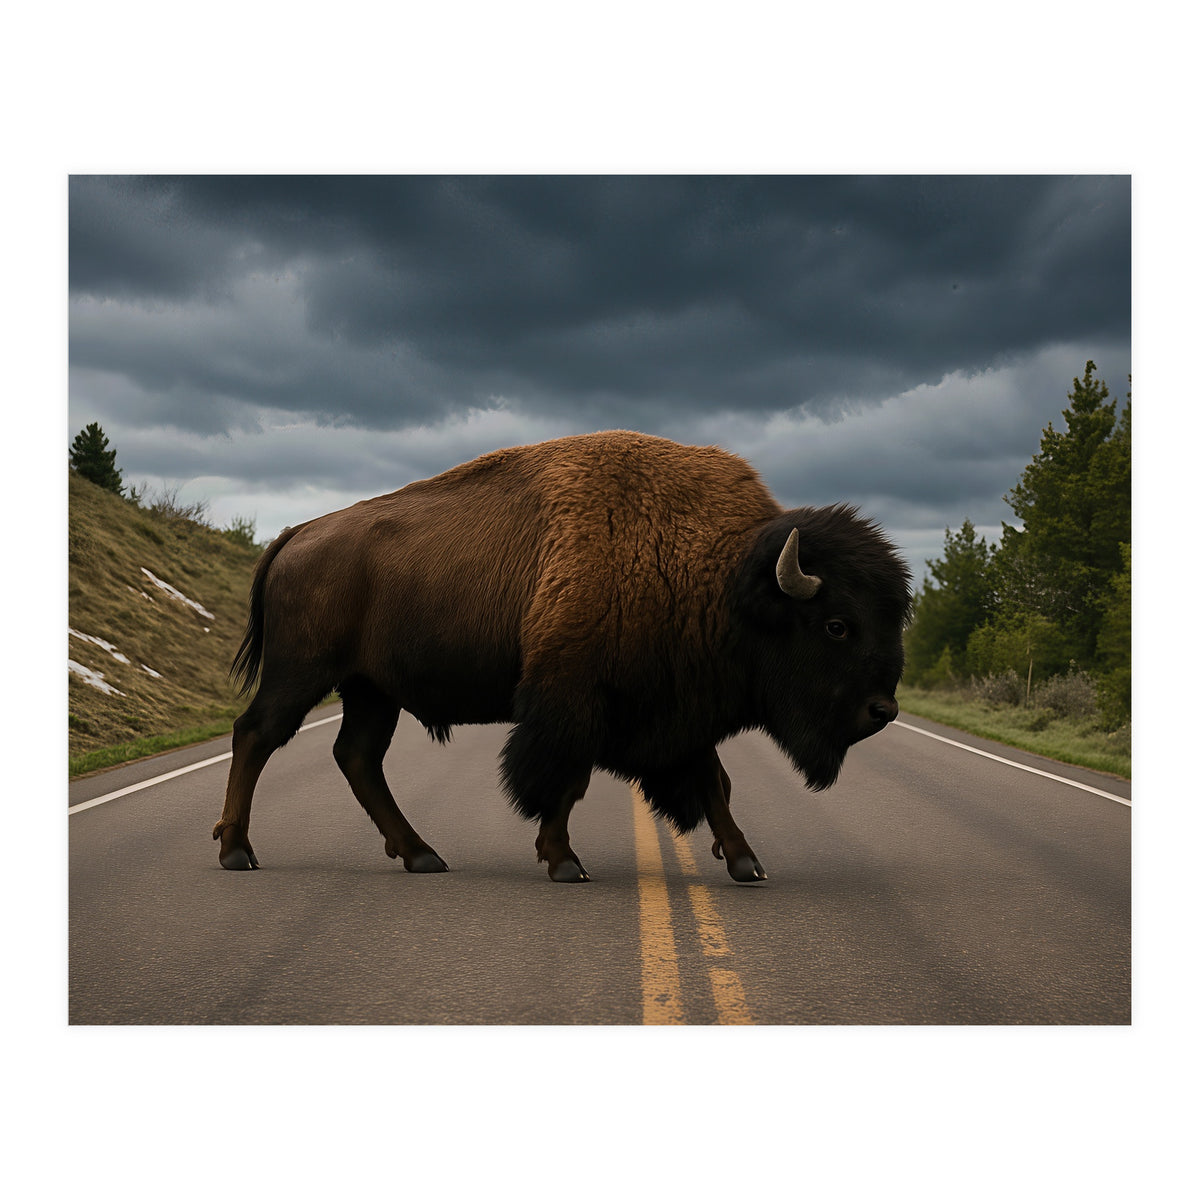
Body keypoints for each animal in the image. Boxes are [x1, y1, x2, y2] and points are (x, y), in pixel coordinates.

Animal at [213, 430, 911, 882]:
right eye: (837, 626)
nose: (883, 710)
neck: (722, 575)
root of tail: (298, 533)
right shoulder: (574, 701)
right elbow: (565, 780)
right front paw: (564, 861)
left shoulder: (675, 711)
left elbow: (712, 780)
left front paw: (746, 862)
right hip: (304, 673)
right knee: (256, 734)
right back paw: (237, 852)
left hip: (370, 690)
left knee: (357, 757)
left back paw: (421, 855)